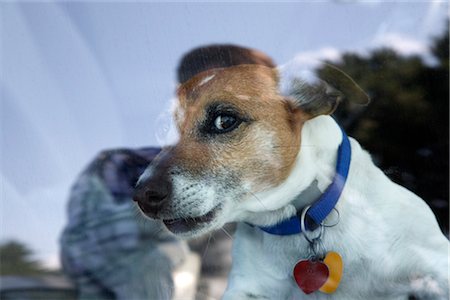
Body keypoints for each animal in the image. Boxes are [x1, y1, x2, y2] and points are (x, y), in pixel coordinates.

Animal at [134, 45, 450, 300]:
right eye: (161, 129)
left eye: (225, 120)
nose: (141, 194)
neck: (303, 218)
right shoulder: (246, 288)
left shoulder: (434, 268)